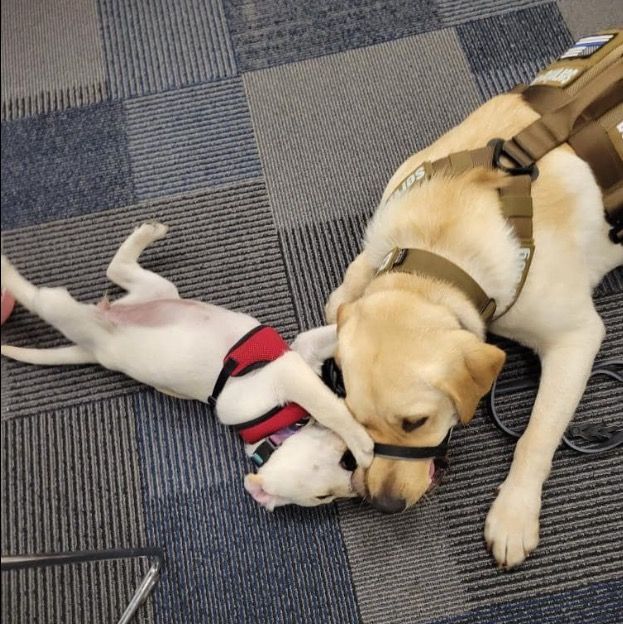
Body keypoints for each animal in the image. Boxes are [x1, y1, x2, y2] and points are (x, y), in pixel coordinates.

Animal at [1, 222, 370, 510]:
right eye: (324, 497)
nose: (355, 487)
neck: (280, 426)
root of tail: (97, 345)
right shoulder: (281, 376)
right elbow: (328, 407)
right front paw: (361, 442)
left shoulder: (301, 353)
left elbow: (333, 335)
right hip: (76, 319)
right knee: (44, 298)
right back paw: (9, 273)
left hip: (156, 291)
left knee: (116, 270)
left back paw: (147, 233)